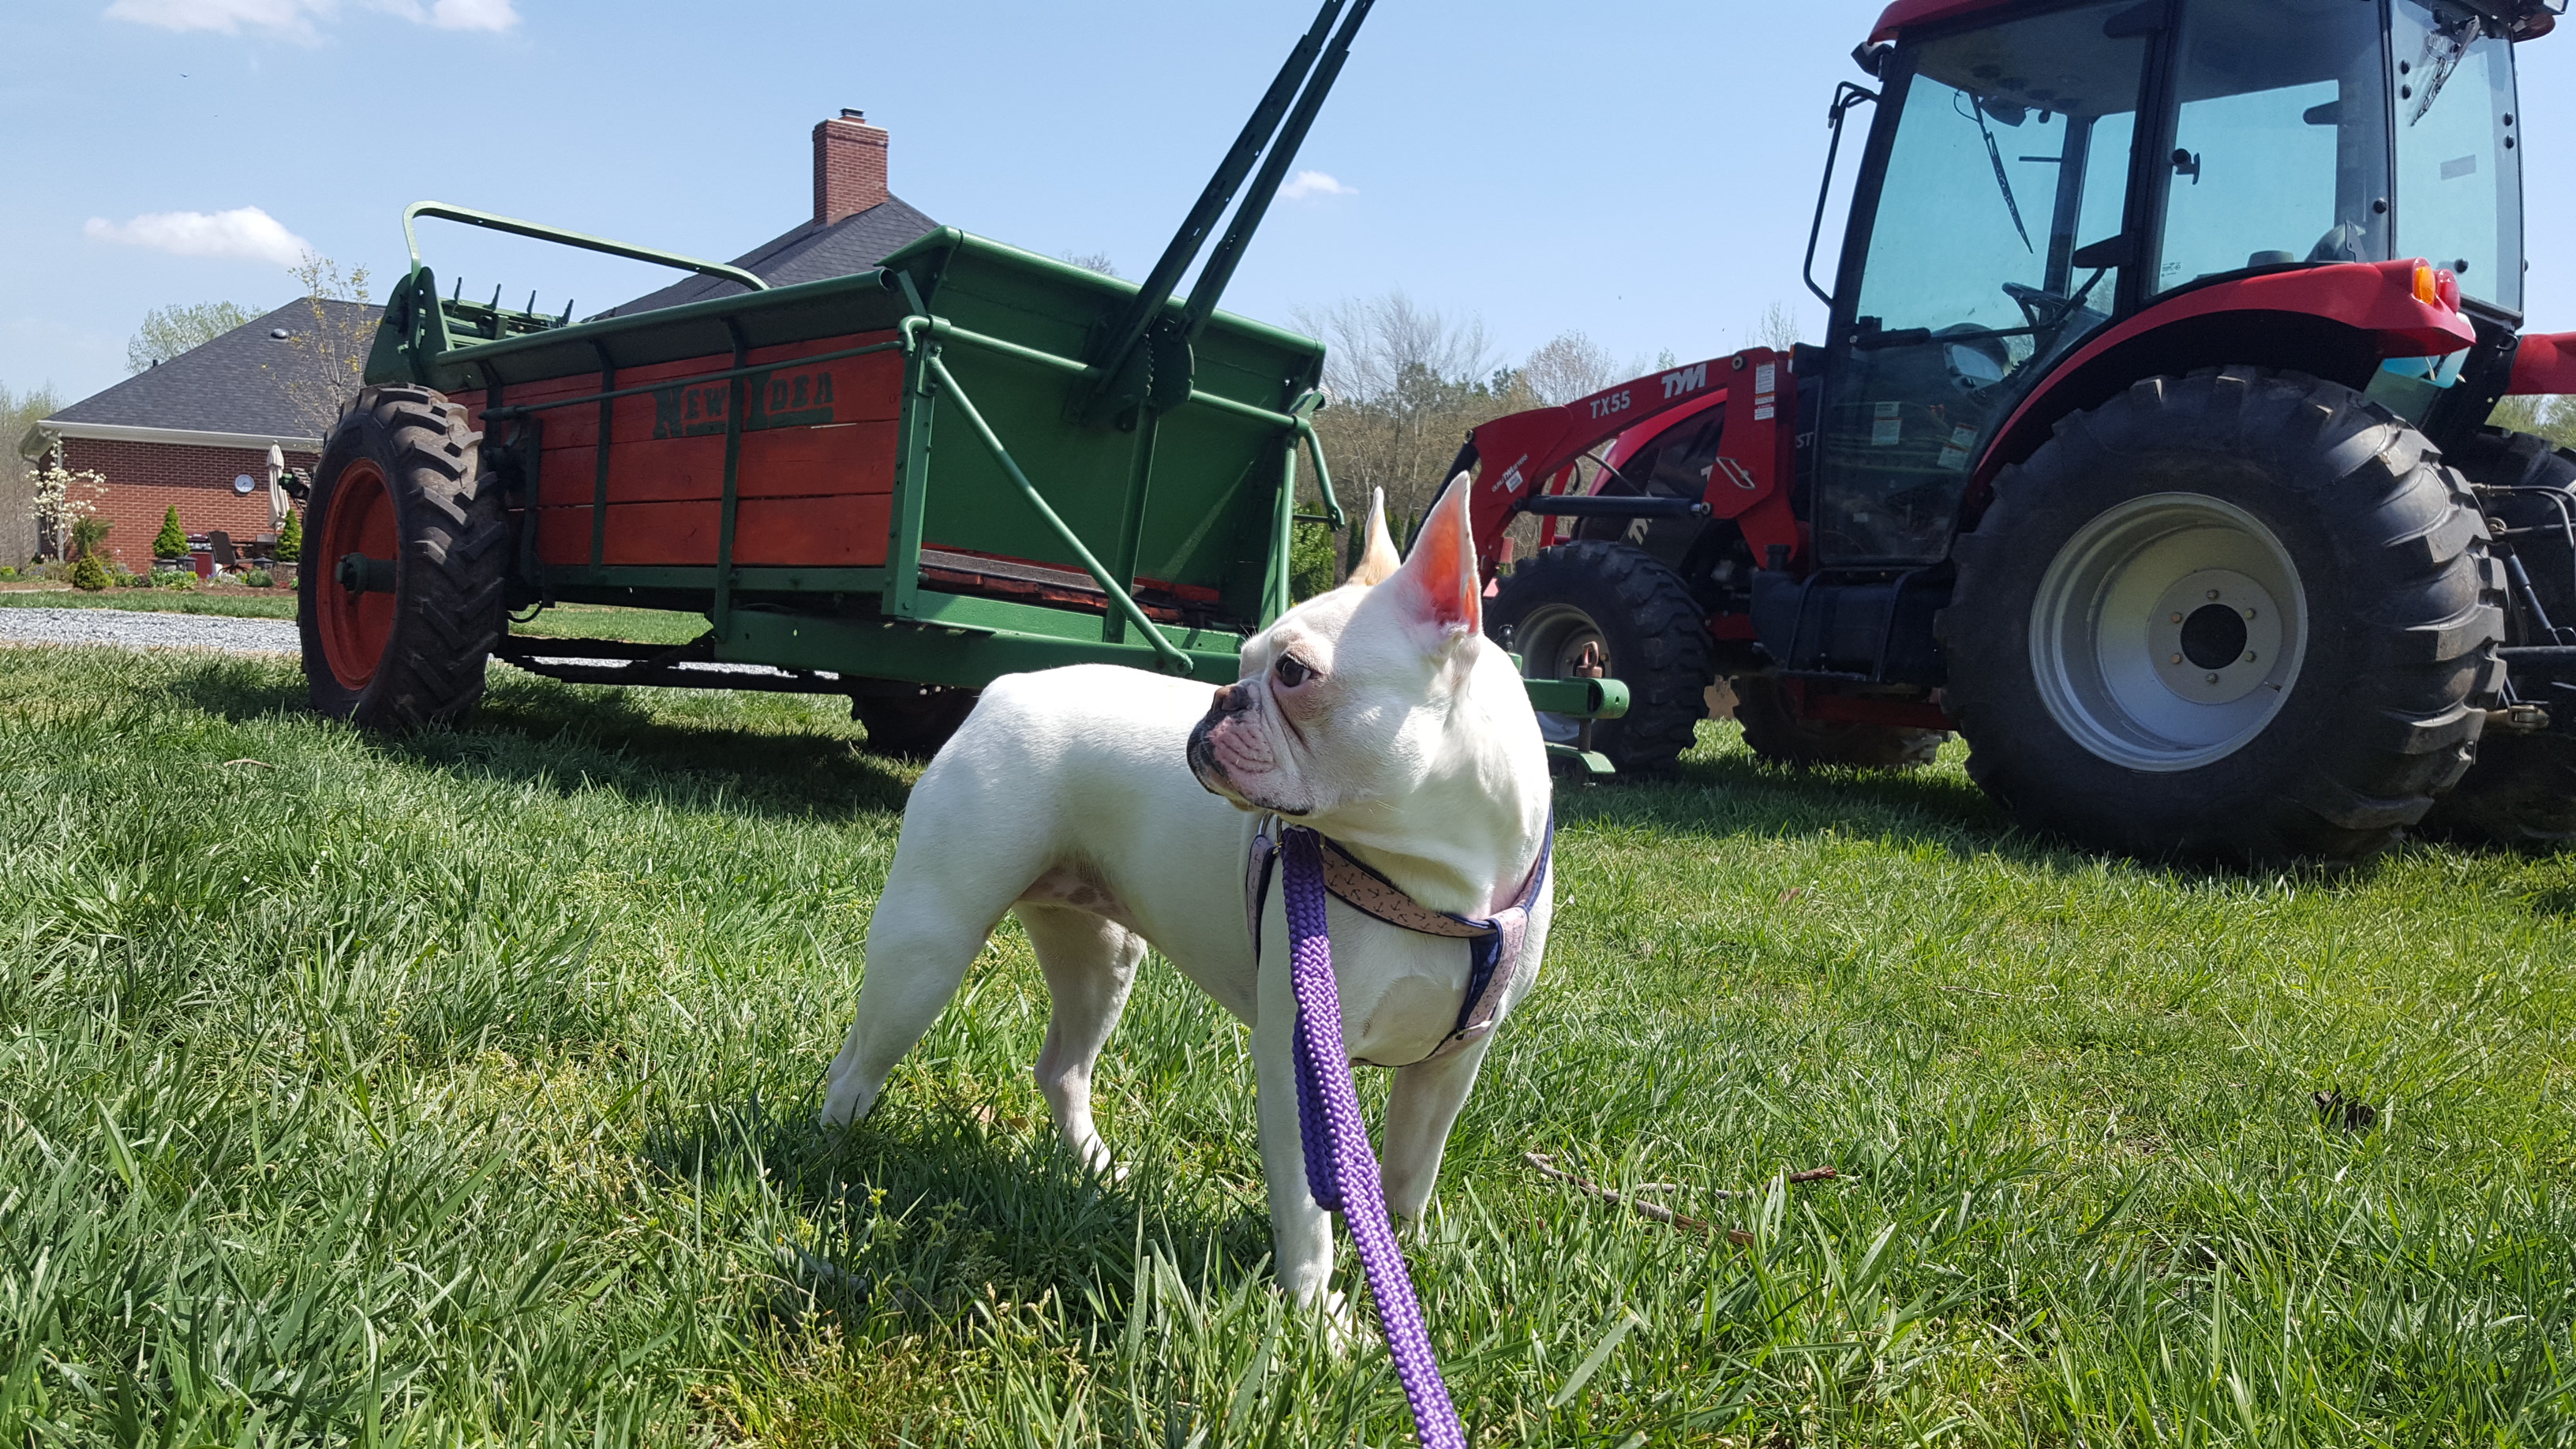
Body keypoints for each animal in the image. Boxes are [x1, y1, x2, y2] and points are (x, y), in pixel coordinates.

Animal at [821, 479, 1554, 1302]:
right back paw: (831, 1153)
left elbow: (1410, 1173)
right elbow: (1309, 1211)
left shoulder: (1450, 1067)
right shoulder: (1300, 1062)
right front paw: (1316, 1311)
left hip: (1101, 958)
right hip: (929, 947)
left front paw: (1410, 1259)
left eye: (1292, 672)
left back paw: (1096, 1171)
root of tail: (1004, 690)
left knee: (1061, 1069)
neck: (1438, 882)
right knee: (862, 1059)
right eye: (1246, 658)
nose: (1219, 697)